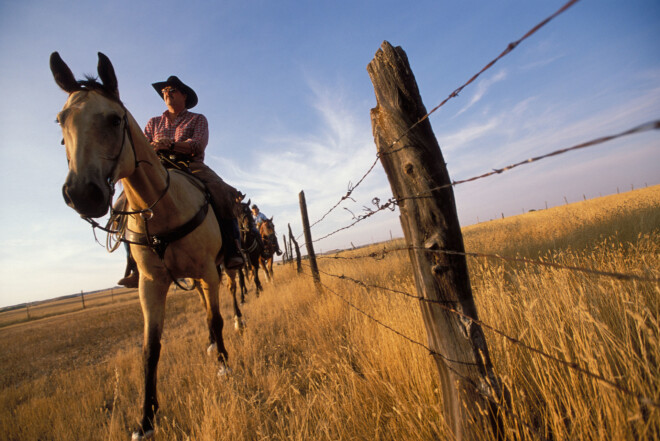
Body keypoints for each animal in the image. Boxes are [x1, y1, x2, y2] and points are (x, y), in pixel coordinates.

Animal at [51, 52, 232, 440]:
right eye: (61, 120)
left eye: (115, 118)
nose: (82, 194)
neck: (164, 207)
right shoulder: (151, 284)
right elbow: (151, 349)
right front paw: (145, 420)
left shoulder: (209, 270)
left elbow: (216, 317)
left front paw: (226, 367)